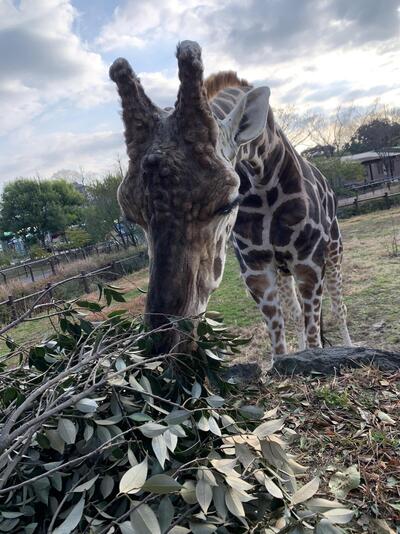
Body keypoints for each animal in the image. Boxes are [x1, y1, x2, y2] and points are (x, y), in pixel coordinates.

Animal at [109, 40, 350, 360]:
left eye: (227, 202)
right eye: (131, 215)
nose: (163, 342)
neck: (263, 184)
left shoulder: (308, 262)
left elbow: (315, 339)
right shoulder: (256, 270)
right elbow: (279, 339)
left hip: (333, 250)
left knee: (339, 307)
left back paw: (349, 345)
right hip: (283, 269)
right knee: (297, 314)